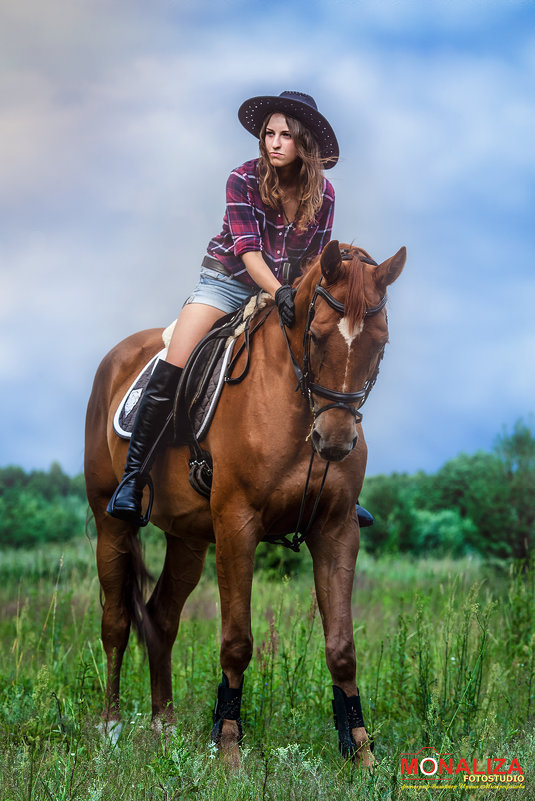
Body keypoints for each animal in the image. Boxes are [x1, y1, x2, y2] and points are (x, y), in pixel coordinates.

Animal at [85, 241, 406, 764]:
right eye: (316, 338)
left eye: (381, 343)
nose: (335, 441)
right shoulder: (237, 525)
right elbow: (237, 640)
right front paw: (229, 747)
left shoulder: (337, 529)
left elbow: (342, 646)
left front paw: (360, 752)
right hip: (111, 524)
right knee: (115, 620)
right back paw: (111, 728)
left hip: (188, 537)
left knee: (160, 617)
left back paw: (163, 725)